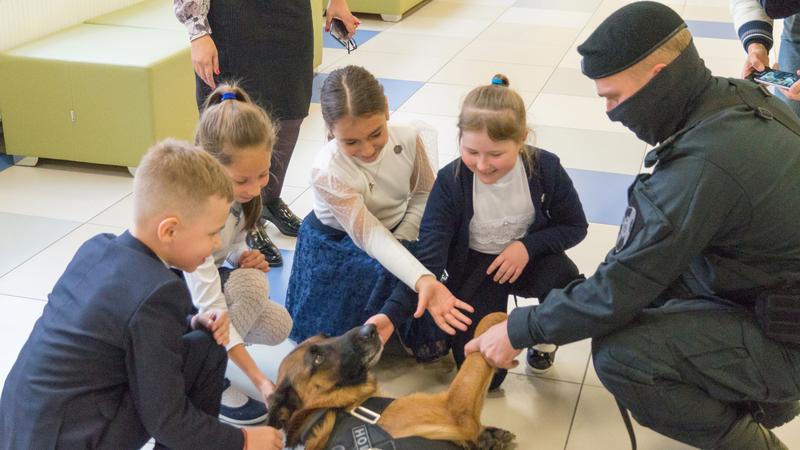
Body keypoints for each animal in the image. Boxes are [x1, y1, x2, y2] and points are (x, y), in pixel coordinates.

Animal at [266, 312, 516, 450]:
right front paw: (500, 326)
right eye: (317, 359)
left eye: (327, 336)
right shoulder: (453, 408)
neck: (331, 408)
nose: (371, 328)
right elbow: (480, 345)